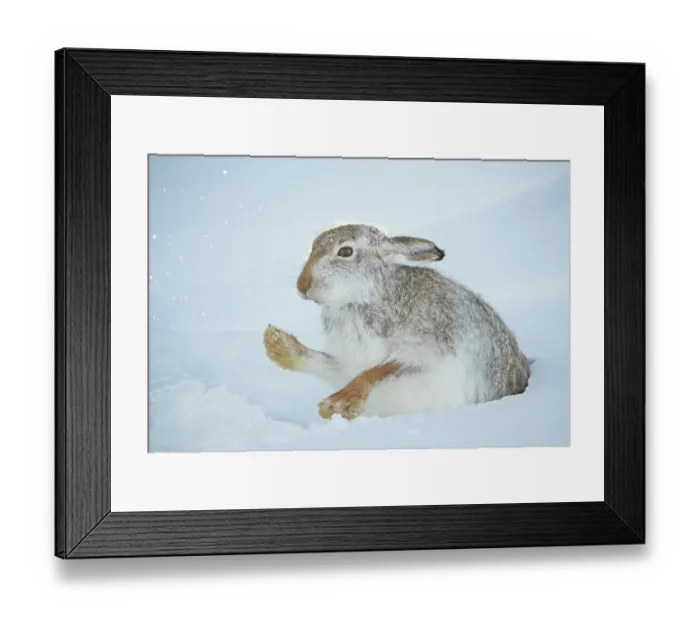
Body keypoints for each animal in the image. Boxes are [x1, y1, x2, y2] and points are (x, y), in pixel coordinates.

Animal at [263, 223, 530, 421]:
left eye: (345, 252)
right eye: (313, 247)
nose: (302, 285)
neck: (362, 299)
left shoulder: (430, 350)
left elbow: (380, 370)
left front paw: (340, 402)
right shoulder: (346, 362)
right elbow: (325, 363)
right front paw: (277, 345)